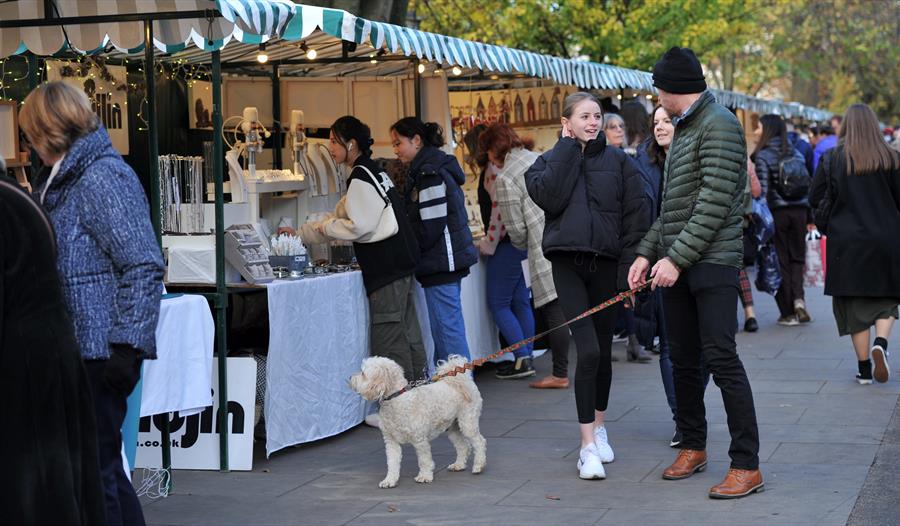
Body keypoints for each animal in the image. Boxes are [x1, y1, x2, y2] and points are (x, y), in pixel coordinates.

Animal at [350, 356, 486, 488]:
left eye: (363, 373)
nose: (350, 378)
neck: (397, 399)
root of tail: (462, 381)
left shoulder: (420, 440)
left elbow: (424, 460)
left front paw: (424, 476)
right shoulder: (391, 442)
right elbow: (392, 463)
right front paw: (389, 480)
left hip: (468, 423)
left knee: (480, 442)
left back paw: (478, 466)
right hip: (453, 428)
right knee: (463, 446)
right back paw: (458, 465)